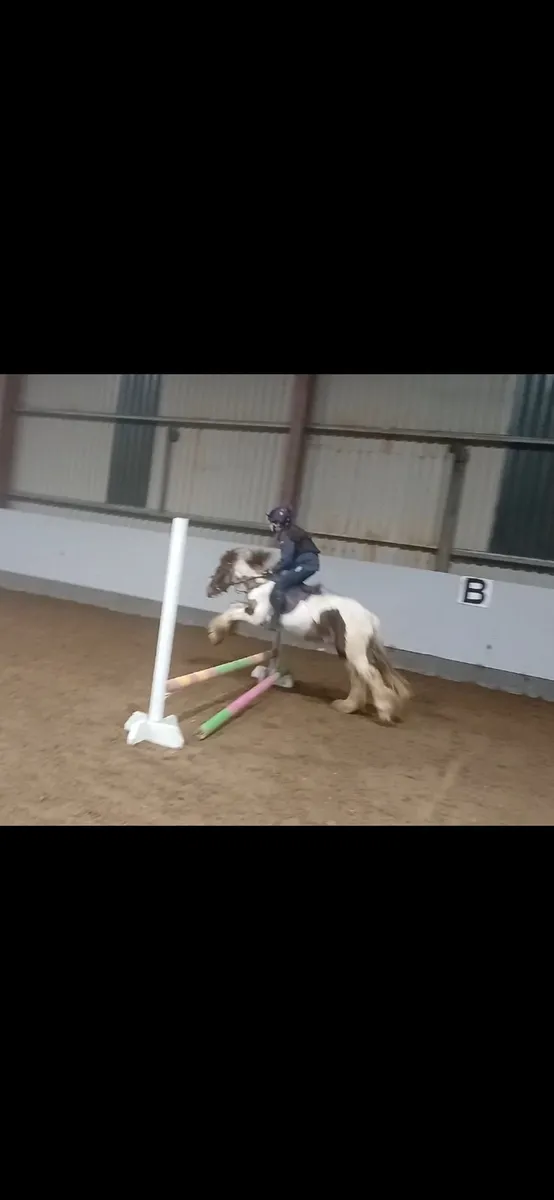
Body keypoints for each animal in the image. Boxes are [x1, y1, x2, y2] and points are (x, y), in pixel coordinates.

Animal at [206, 548, 411, 723]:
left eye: (221, 568)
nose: (210, 590)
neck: (261, 584)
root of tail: (369, 617)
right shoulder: (253, 611)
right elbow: (234, 607)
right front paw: (220, 631)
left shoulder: (257, 617)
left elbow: (233, 611)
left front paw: (215, 634)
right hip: (345, 649)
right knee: (357, 676)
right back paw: (346, 706)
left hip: (355, 650)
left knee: (370, 674)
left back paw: (384, 711)